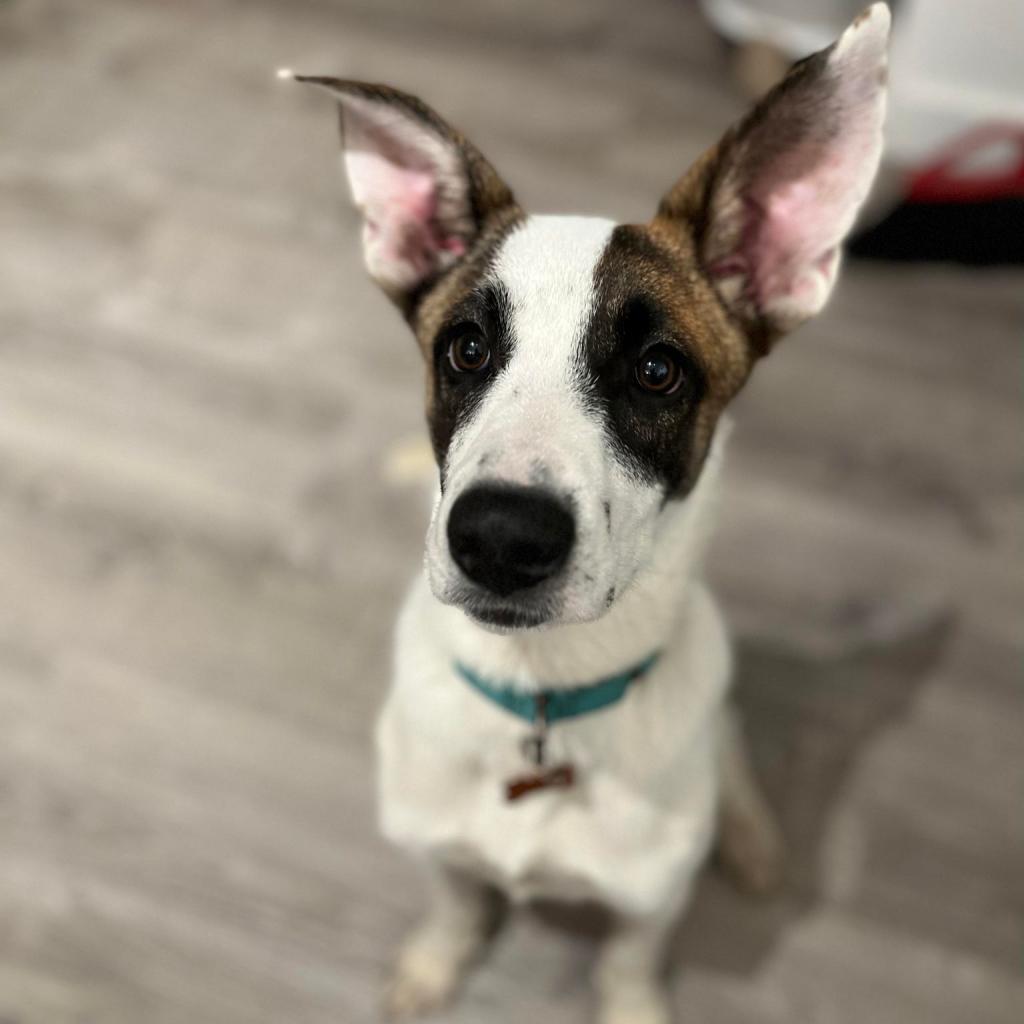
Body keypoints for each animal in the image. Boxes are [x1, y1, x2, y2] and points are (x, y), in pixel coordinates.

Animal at [286, 6, 888, 1015]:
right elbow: (455, 899)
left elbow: (629, 960)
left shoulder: (649, 902)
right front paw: (434, 963)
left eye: (658, 370)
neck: (543, 697)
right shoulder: (436, 841)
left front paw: (634, 1005)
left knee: (730, 747)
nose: (499, 537)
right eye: (465, 347)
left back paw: (751, 839)